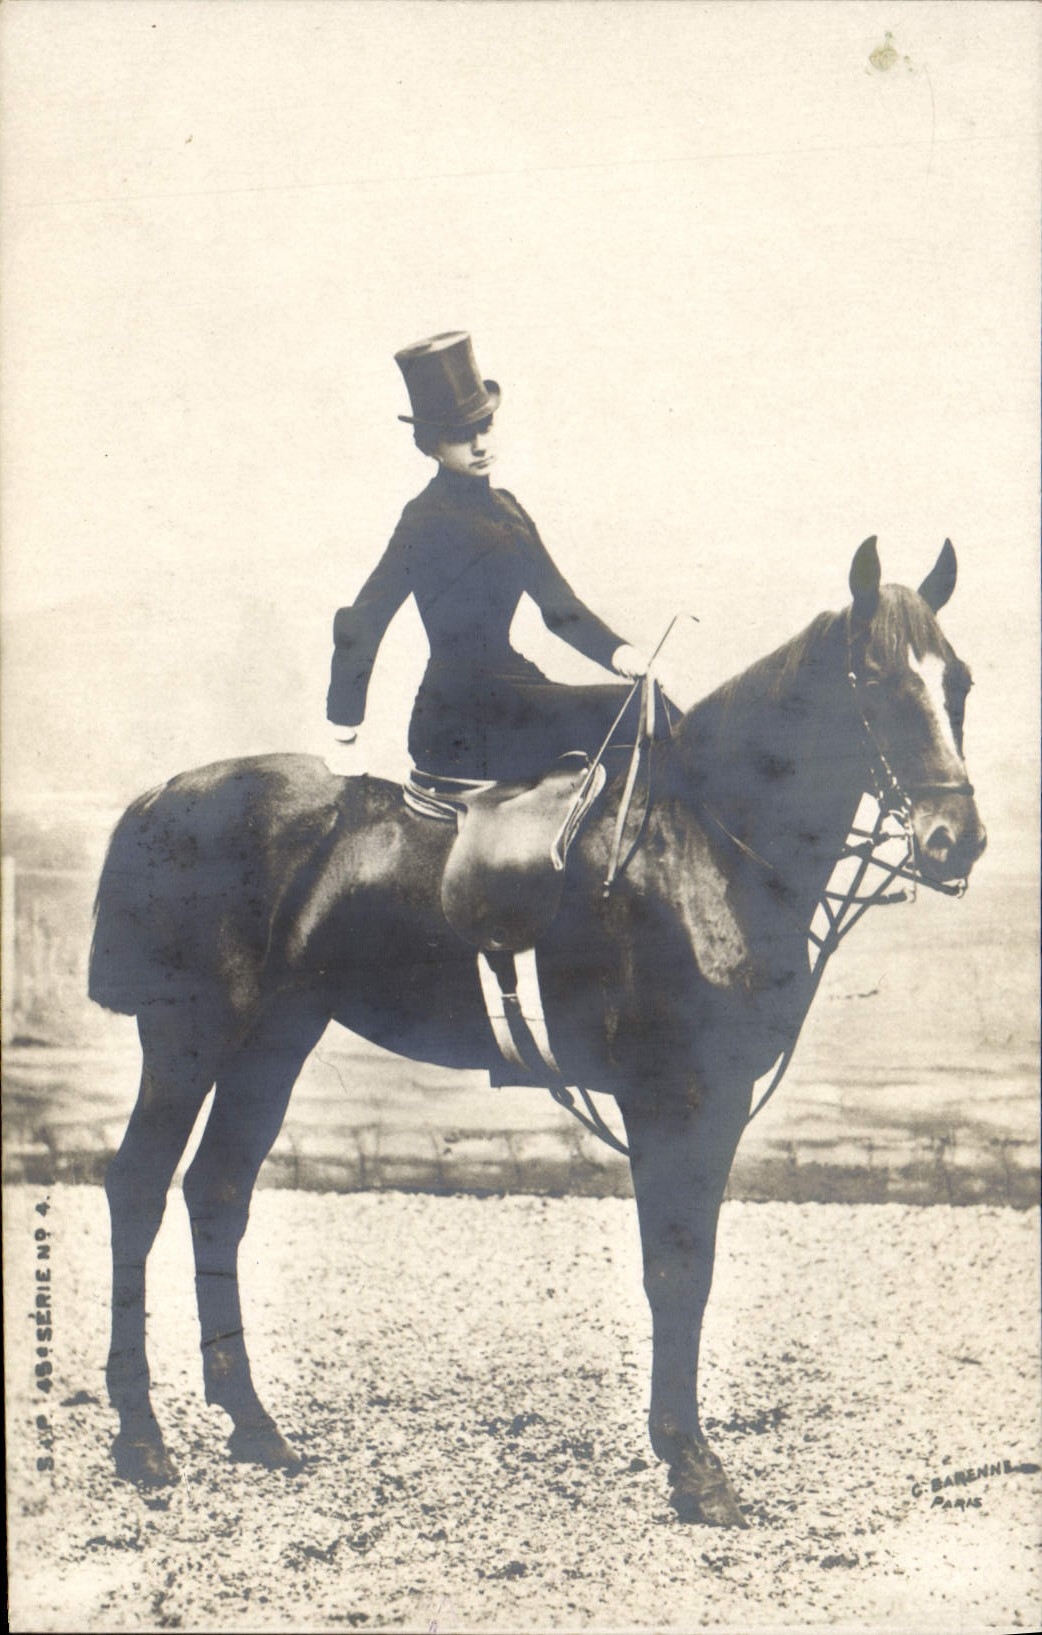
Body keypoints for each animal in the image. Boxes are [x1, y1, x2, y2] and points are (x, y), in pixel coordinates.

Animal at [89, 537, 985, 1526]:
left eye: (960, 682)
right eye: (875, 680)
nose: (958, 838)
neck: (706, 845)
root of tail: (164, 794)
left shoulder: (716, 1100)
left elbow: (694, 1266)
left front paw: (684, 1451)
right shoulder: (670, 1096)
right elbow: (675, 1270)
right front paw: (692, 1463)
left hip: (276, 1037)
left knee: (217, 1191)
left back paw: (253, 1424)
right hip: (189, 1034)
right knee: (137, 1189)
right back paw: (141, 1439)